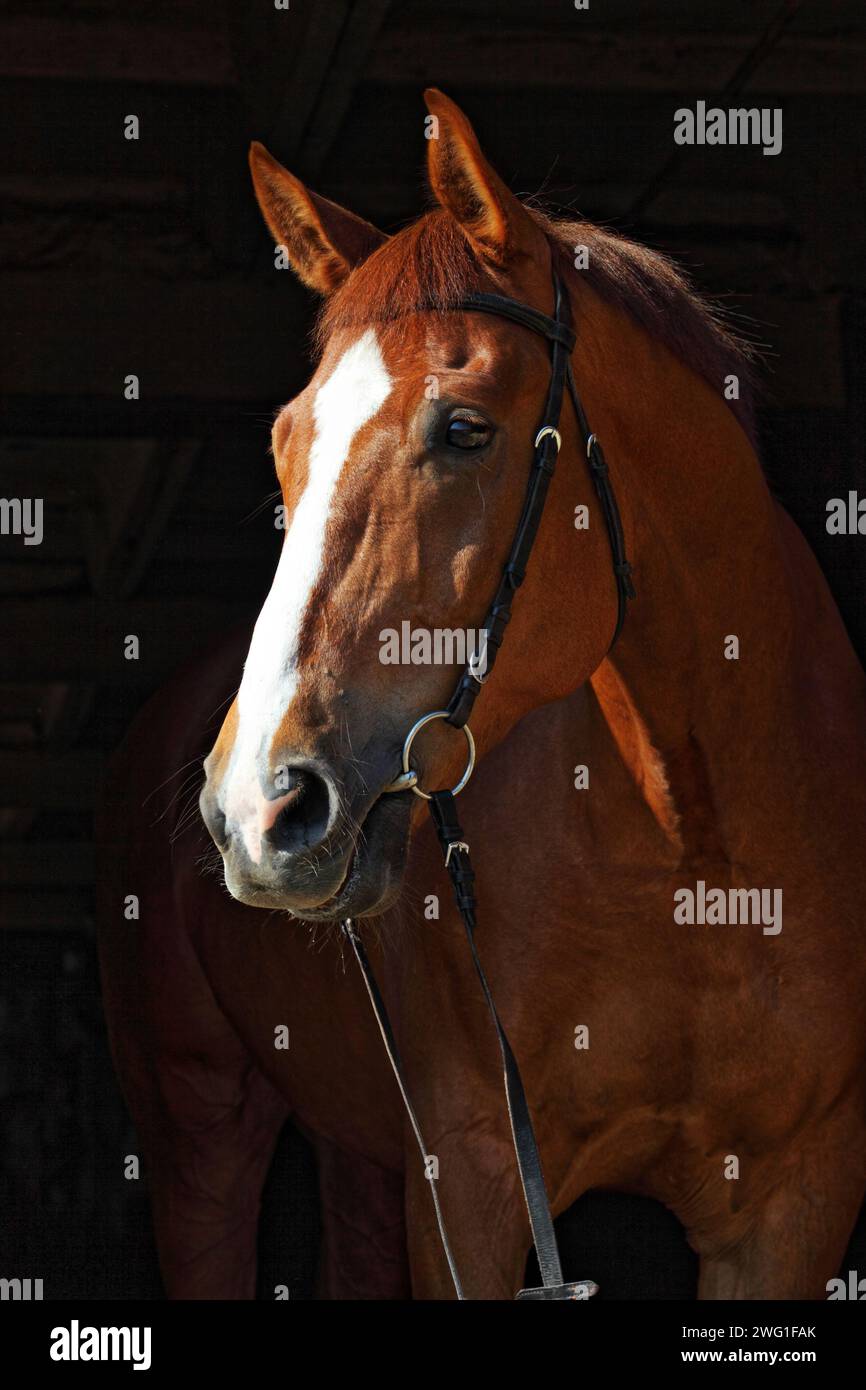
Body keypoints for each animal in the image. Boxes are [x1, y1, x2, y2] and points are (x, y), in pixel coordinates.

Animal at [97, 89, 866, 1301]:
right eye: (285, 443)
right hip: (198, 1128)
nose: (257, 808)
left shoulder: (796, 1203)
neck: (695, 857)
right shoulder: (470, 1182)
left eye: (463, 429)